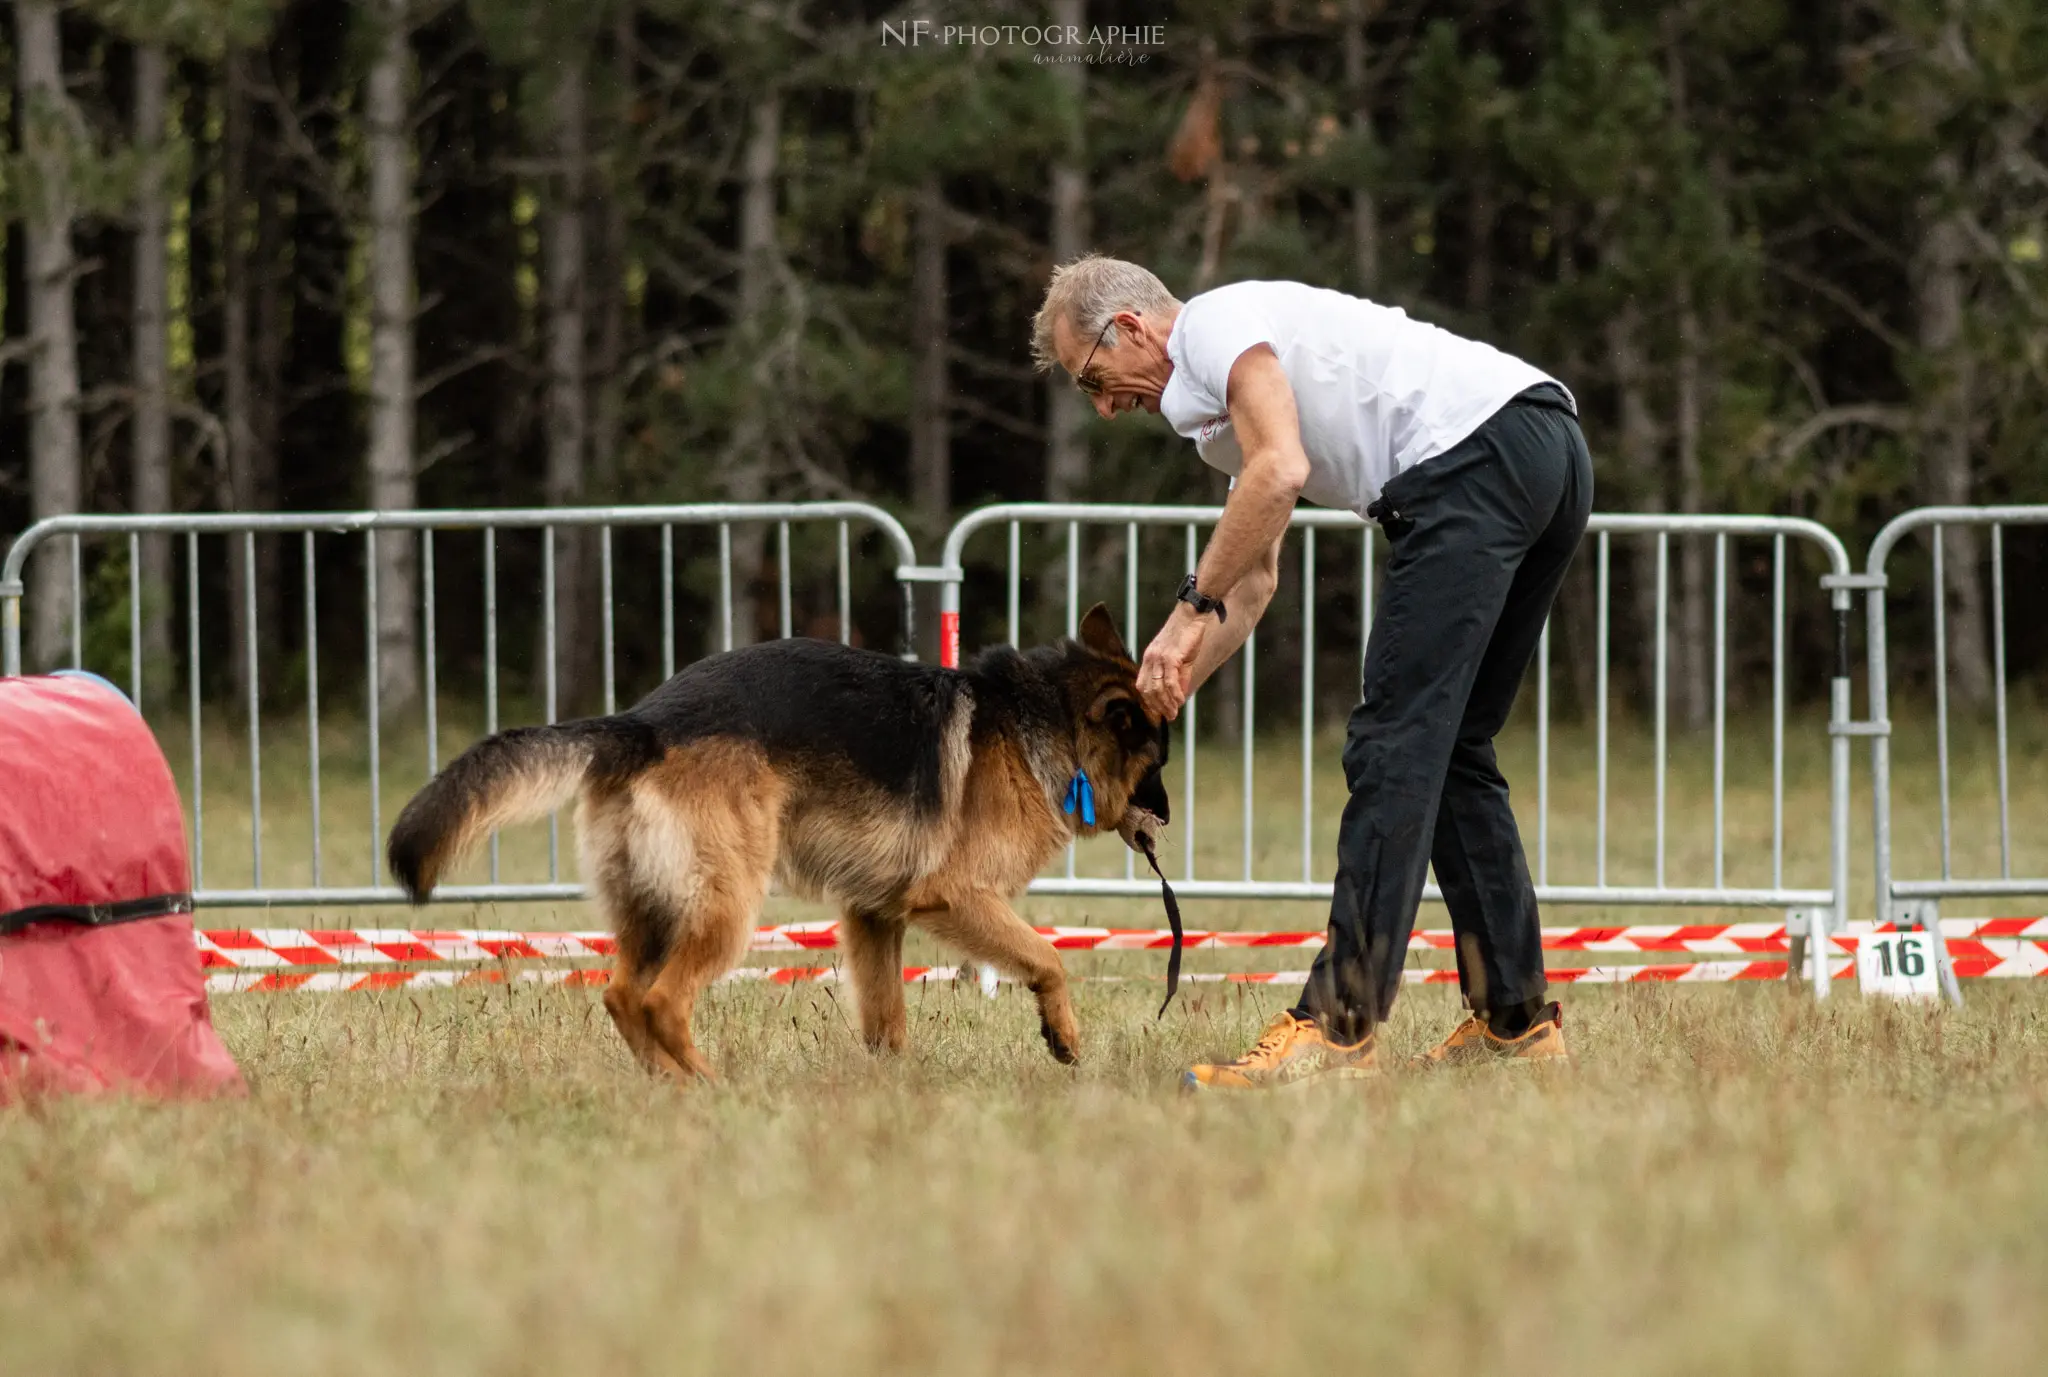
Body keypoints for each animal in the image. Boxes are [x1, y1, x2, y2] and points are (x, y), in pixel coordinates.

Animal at [387, 606, 1171, 1081]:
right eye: (1158, 763)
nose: (1165, 820)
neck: (1044, 722)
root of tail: (643, 723)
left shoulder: (873, 916)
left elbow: (886, 1018)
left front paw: (895, 1088)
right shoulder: (956, 897)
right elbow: (1048, 959)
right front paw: (1063, 1035)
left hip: (652, 908)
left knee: (620, 994)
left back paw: (667, 1085)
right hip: (727, 906)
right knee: (663, 1000)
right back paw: (706, 1083)